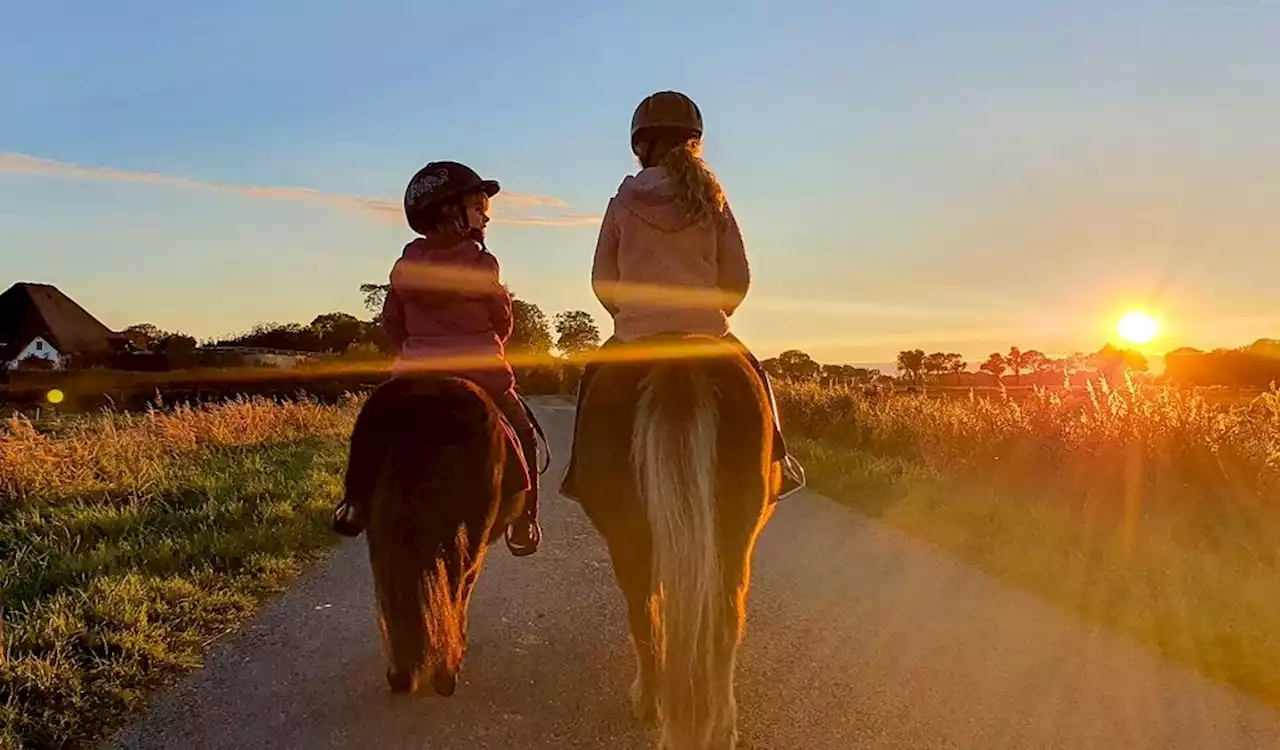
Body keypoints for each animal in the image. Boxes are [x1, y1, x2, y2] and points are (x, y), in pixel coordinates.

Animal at [337, 373, 532, 696]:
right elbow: (464, 591)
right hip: (470, 533)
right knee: (457, 583)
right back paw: (445, 671)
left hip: (382, 531)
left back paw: (403, 673)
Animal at [573, 335, 773, 747]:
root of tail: (679, 354)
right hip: (733, 540)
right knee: (725, 623)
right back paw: (722, 728)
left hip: (628, 541)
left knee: (643, 613)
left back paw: (649, 702)